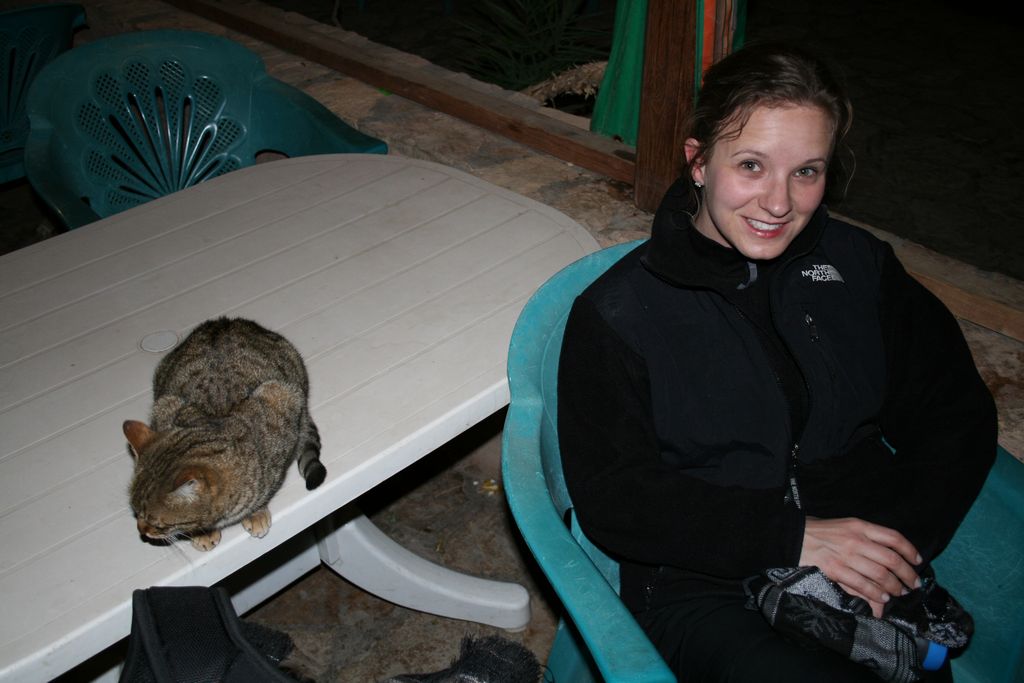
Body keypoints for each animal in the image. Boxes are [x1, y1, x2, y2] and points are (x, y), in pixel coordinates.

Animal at [123, 317, 326, 551]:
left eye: (158, 524)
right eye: (135, 512)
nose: (141, 531)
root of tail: (224, 321)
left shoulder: (279, 399)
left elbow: (266, 488)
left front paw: (255, 512)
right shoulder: (165, 406)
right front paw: (203, 533)